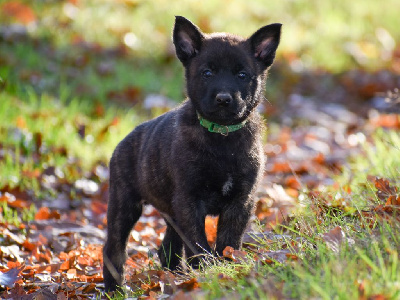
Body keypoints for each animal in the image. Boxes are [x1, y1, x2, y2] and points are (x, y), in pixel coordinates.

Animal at [103, 15, 282, 290]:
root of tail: (124, 141)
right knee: (113, 248)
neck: (222, 137)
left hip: (170, 212)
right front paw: (208, 271)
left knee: (167, 249)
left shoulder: (240, 201)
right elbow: (199, 244)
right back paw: (115, 289)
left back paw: (174, 277)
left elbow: (228, 241)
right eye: (207, 73)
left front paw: (226, 269)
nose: (223, 99)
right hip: (124, 204)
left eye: (242, 75)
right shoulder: (189, 201)